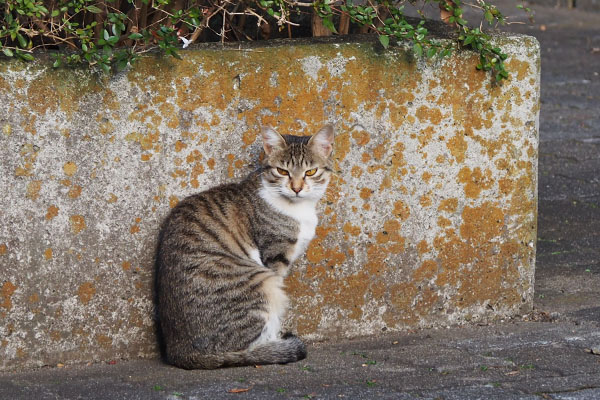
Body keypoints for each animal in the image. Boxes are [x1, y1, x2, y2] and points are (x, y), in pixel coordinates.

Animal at [155, 124, 336, 368]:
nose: (297, 188)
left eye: (310, 172)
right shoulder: (275, 257)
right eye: (282, 171)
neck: (298, 209)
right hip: (261, 283)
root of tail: (181, 352)